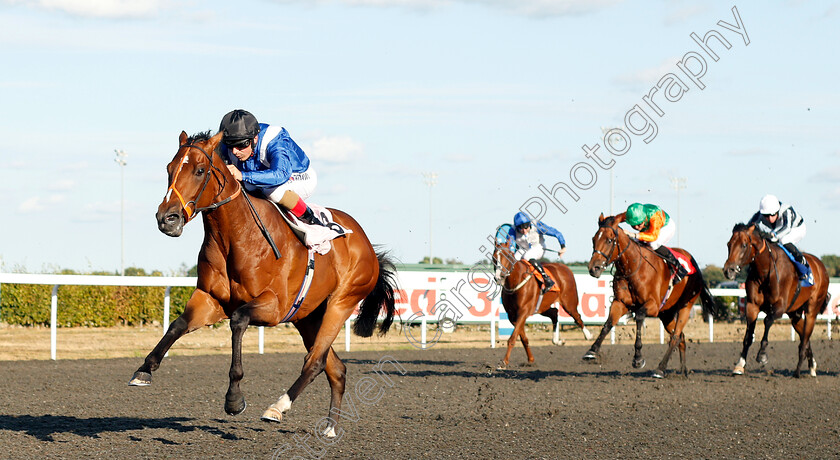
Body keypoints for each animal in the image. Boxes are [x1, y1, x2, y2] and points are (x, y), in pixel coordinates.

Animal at [129, 131, 398, 436]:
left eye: (199, 170)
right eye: (169, 169)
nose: (167, 218)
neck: (237, 237)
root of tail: (367, 244)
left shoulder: (273, 307)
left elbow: (238, 320)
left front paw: (234, 398)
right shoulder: (210, 299)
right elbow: (177, 325)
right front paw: (144, 370)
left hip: (341, 303)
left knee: (315, 361)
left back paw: (277, 407)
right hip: (308, 316)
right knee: (335, 367)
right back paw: (329, 428)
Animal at [492, 226, 592, 370]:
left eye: (508, 256)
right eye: (494, 257)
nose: (498, 277)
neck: (516, 282)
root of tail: (565, 268)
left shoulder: (523, 312)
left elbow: (512, 338)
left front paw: (504, 362)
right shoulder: (513, 316)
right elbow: (522, 337)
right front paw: (531, 359)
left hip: (569, 302)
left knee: (577, 317)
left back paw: (588, 335)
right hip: (543, 307)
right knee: (554, 313)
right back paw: (557, 340)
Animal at [584, 212, 716, 378]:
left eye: (609, 240)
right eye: (594, 239)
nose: (593, 268)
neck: (633, 267)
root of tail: (696, 268)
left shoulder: (652, 305)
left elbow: (639, 317)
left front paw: (638, 358)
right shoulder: (620, 302)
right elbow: (608, 323)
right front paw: (592, 350)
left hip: (686, 306)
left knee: (675, 337)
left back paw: (660, 368)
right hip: (666, 313)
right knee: (681, 337)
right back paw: (683, 370)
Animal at [720, 223, 832, 378]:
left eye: (744, 245)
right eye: (728, 244)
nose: (728, 270)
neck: (764, 271)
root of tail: (821, 266)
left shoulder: (779, 307)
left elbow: (767, 321)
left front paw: (762, 355)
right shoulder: (752, 306)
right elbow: (748, 336)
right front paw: (739, 365)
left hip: (812, 309)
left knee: (804, 339)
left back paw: (797, 372)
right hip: (794, 314)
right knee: (805, 337)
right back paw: (812, 366)